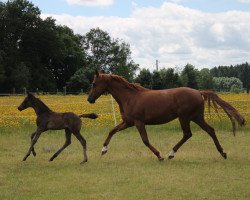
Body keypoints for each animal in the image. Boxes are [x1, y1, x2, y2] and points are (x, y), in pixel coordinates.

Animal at [87, 71, 245, 160]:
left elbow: (145, 140)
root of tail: (198, 92)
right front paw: (103, 150)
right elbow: (112, 131)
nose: (89, 99)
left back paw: (171, 154)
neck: (130, 97)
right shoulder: (128, 122)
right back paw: (223, 153)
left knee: (188, 134)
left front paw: (159, 156)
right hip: (196, 117)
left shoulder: (138, 122)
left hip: (185, 117)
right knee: (210, 130)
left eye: (94, 83)